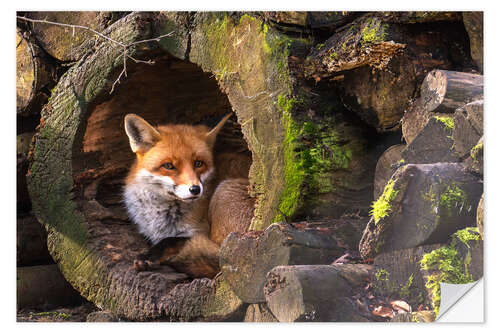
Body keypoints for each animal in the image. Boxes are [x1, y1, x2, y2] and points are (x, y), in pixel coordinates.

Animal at [121, 112, 254, 278]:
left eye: (198, 163)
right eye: (169, 166)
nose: (195, 189)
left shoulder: (197, 231)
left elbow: (171, 240)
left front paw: (149, 255)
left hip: (225, 192)